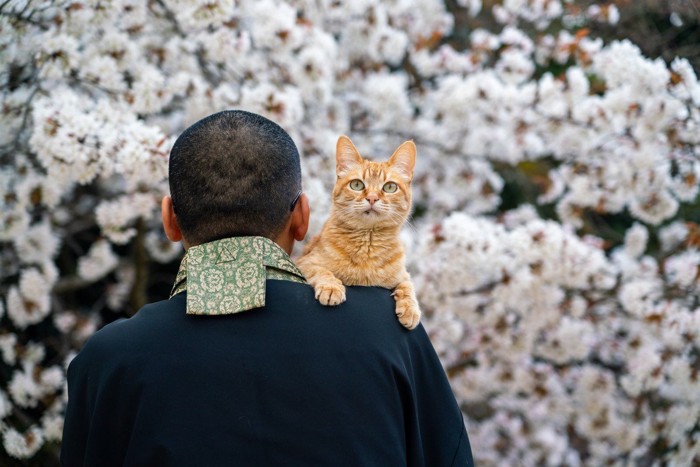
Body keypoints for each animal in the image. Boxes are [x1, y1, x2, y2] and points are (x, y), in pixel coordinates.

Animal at [296, 135, 422, 330]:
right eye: (356, 184)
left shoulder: (402, 275)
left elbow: (408, 286)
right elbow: (322, 271)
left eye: (390, 187)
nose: (372, 198)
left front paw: (410, 309)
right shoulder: (304, 262)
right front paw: (331, 288)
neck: (367, 246)